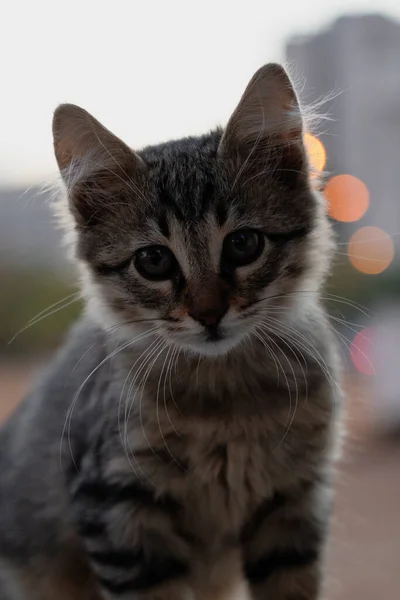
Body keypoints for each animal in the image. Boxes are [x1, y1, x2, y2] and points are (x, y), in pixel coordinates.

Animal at [0, 65, 342, 600]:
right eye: (154, 261)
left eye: (243, 244)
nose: (209, 313)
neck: (227, 402)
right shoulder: (118, 511)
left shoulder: (294, 505)